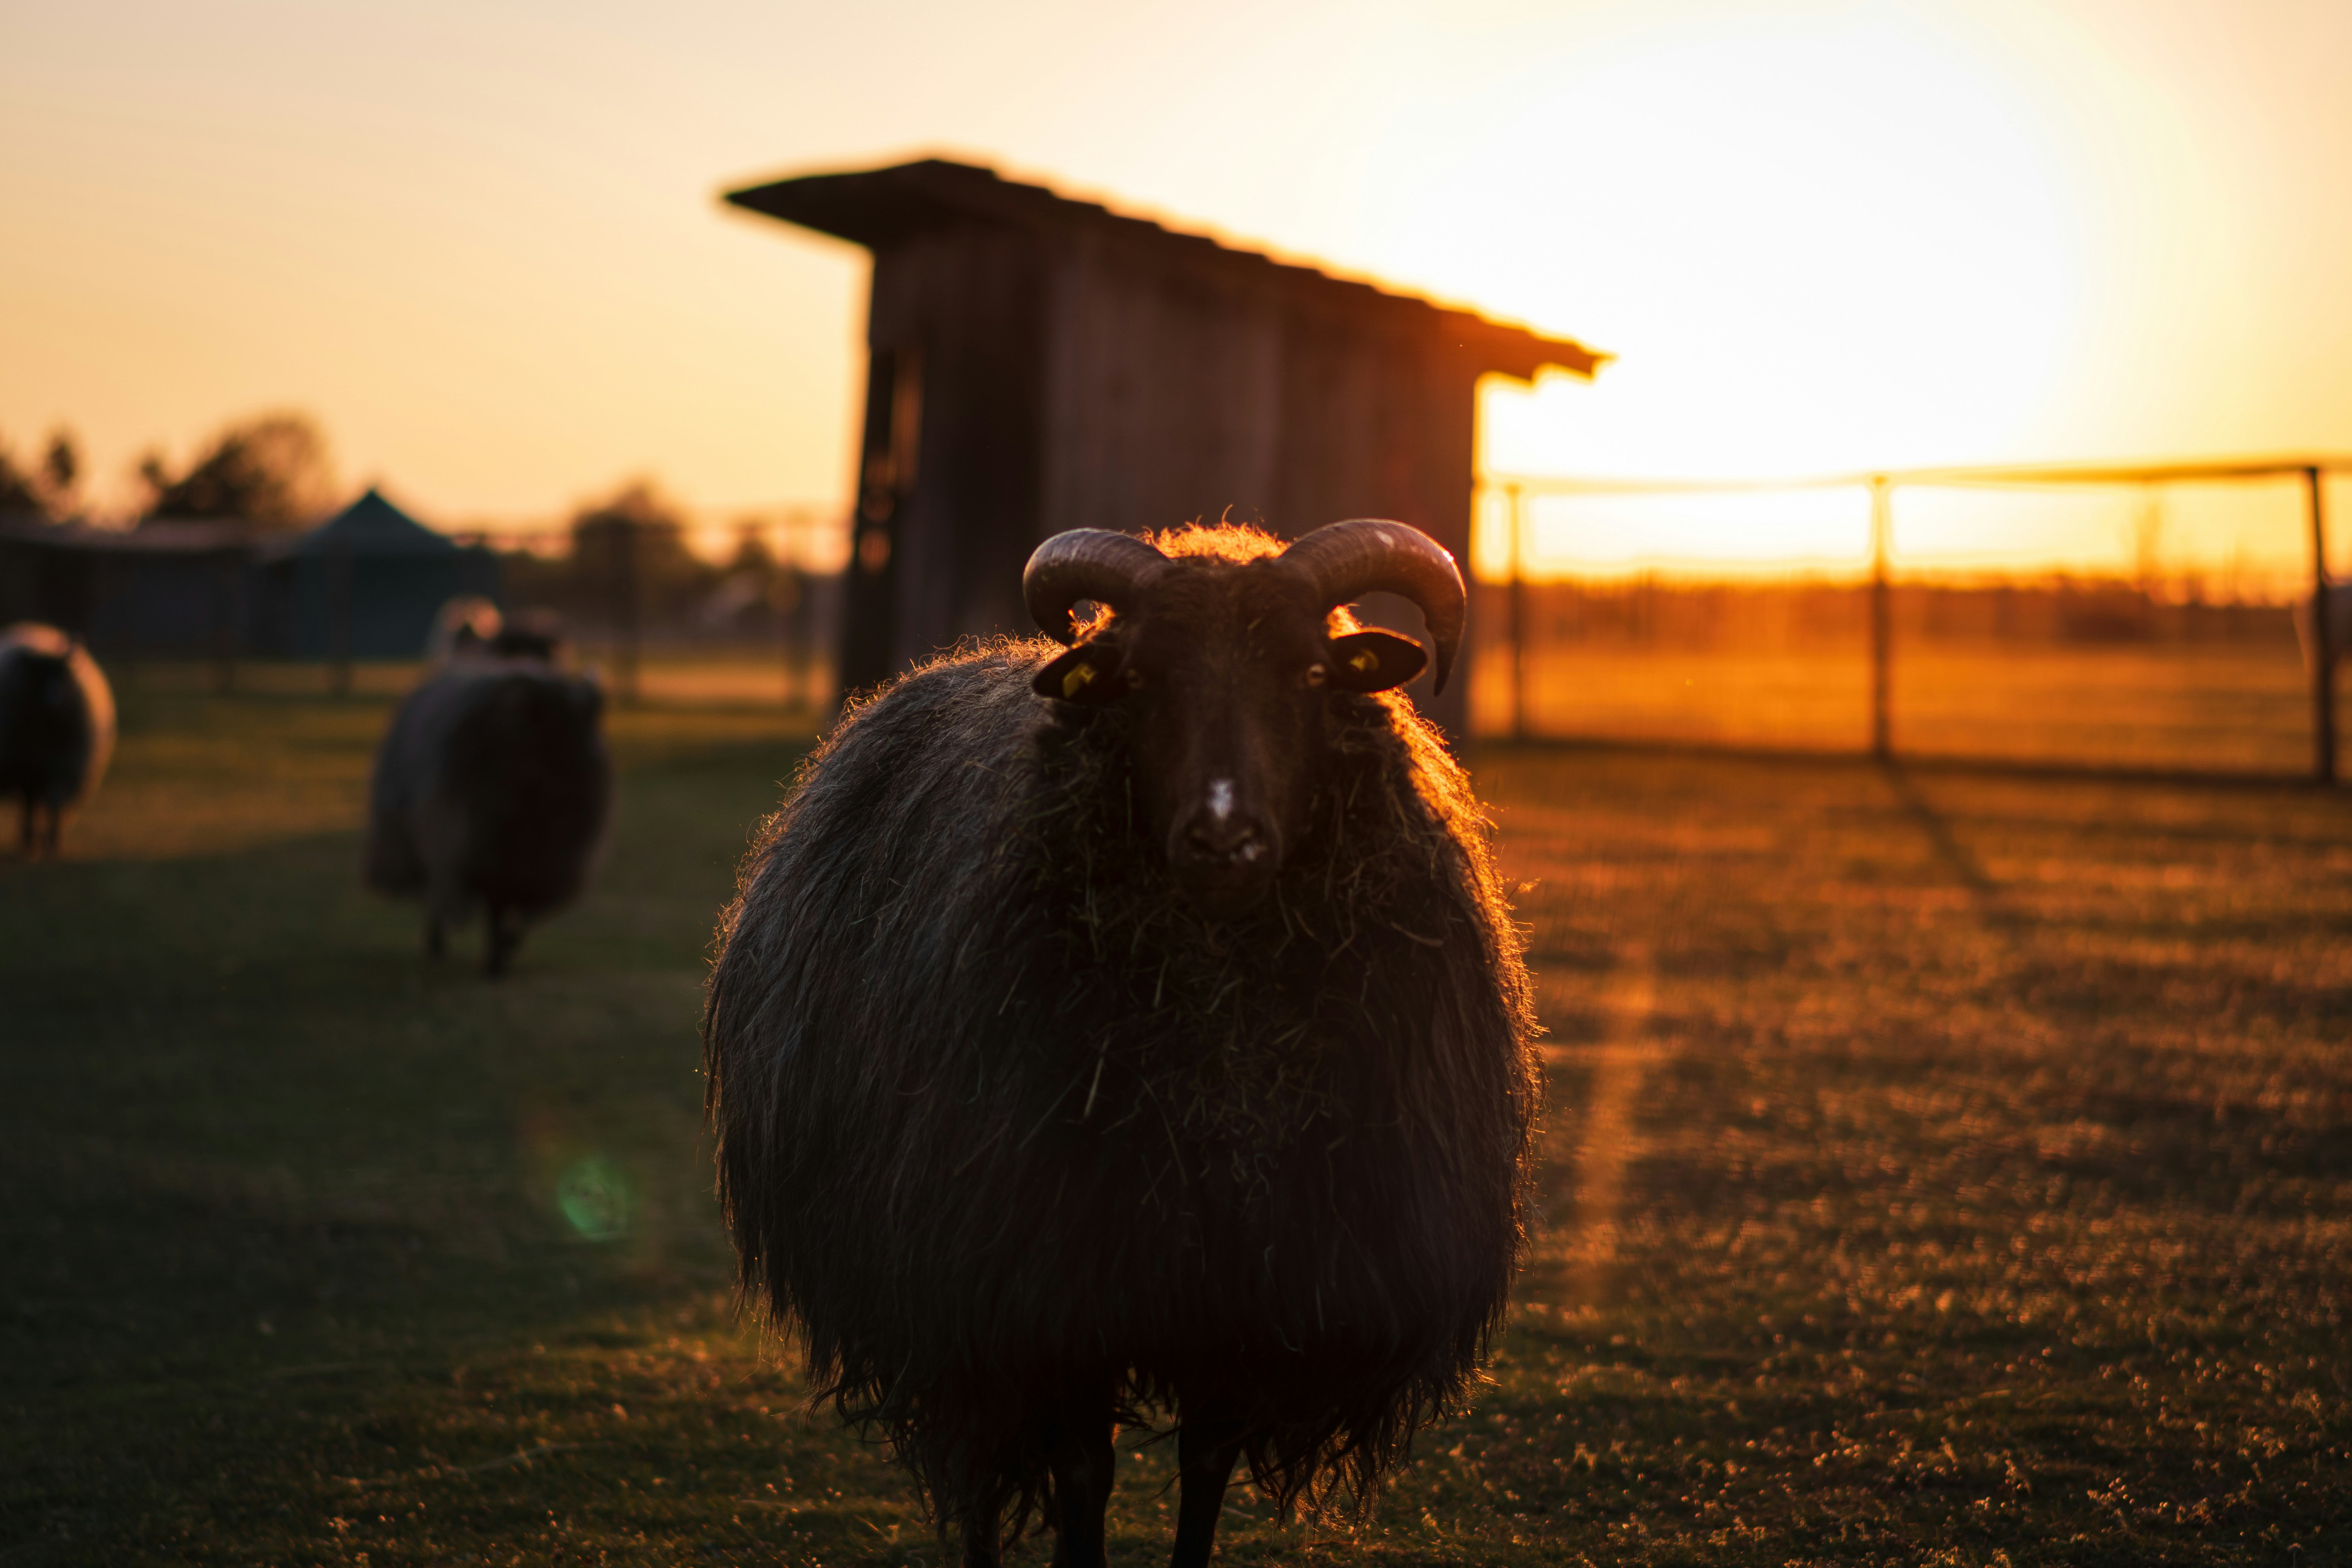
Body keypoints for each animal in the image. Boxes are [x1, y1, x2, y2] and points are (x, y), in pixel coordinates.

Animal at [701, 522, 1543, 1561]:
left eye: (1312, 672)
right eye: (1139, 679)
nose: (1223, 838)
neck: (1221, 1062)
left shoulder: (1253, 1291)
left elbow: (1206, 1466)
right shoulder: (1049, 1291)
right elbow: (1082, 1475)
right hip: (939, 1287)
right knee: (974, 1469)